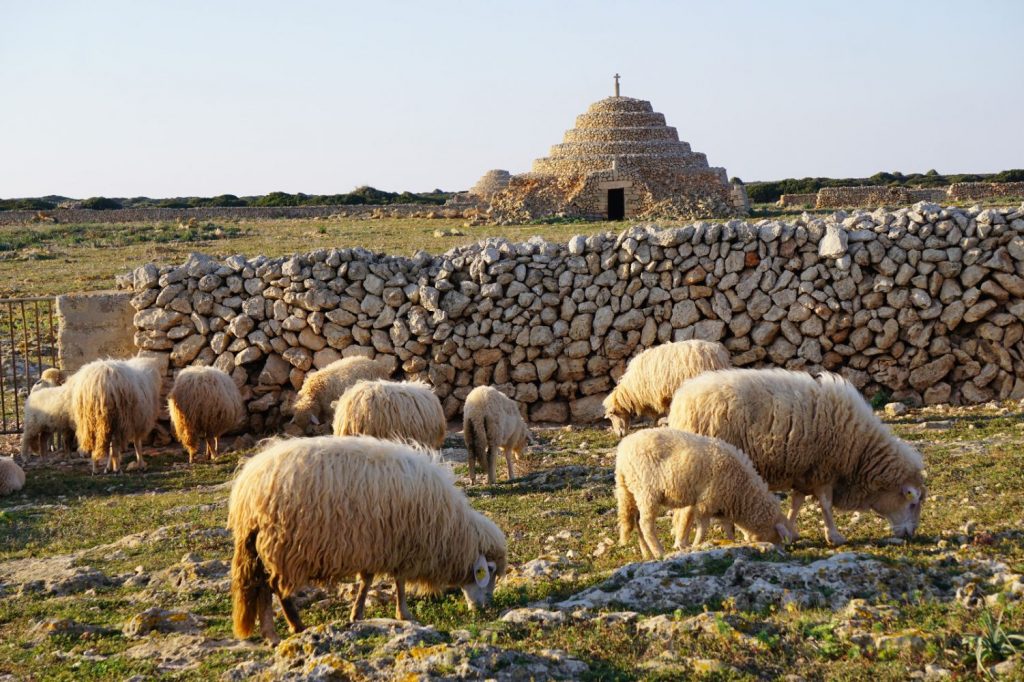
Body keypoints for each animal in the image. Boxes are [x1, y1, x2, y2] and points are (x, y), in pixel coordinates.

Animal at [228, 432, 507, 638]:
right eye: (489, 570)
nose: (487, 607)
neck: (448, 526)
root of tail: (247, 484)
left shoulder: (375, 545)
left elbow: (368, 580)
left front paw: (357, 614)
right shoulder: (399, 544)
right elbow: (399, 581)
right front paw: (404, 614)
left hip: (262, 546)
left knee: (262, 588)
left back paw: (271, 633)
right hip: (281, 546)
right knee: (276, 589)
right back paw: (294, 626)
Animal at [610, 425, 794, 557]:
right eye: (777, 537)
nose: (781, 552)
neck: (743, 491)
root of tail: (622, 454)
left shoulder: (720, 503)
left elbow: (727, 527)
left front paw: (732, 542)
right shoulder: (707, 501)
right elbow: (703, 527)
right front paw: (697, 545)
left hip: (632, 491)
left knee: (636, 522)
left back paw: (647, 553)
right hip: (647, 491)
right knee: (645, 524)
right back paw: (659, 552)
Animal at [667, 368, 925, 544]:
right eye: (912, 503)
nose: (911, 535)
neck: (861, 451)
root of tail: (681, 400)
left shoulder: (805, 473)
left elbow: (797, 503)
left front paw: (791, 531)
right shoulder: (824, 470)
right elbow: (825, 505)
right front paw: (834, 535)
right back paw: (683, 542)